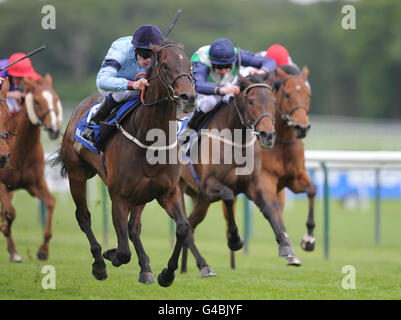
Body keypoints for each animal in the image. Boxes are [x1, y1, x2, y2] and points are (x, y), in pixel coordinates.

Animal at [0, 74, 62, 262]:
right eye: (37, 102)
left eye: (55, 99)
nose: (54, 129)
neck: (21, 149)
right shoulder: (2, 185)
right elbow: (10, 212)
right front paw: (5, 229)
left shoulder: (35, 184)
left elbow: (51, 202)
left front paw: (43, 250)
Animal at [53, 40, 197, 288]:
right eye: (165, 65)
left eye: (189, 64)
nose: (188, 97)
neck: (150, 139)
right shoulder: (119, 197)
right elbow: (122, 251)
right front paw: (109, 255)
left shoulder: (167, 191)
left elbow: (182, 227)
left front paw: (167, 273)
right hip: (76, 174)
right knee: (83, 217)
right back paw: (99, 263)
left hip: (141, 194)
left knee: (134, 228)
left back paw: (146, 269)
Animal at [179, 73, 296, 278]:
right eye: (250, 101)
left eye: (273, 101)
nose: (268, 135)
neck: (236, 143)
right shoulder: (209, 186)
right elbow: (228, 195)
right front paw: (234, 239)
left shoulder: (253, 184)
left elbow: (267, 208)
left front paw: (285, 245)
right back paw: (201, 265)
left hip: (201, 200)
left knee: (190, 226)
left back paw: (198, 265)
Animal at [222, 64, 316, 268]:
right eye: (287, 95)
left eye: (308, 94)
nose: (302, 127)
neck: (281, 143)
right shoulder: (265, 180)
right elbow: (272, 207)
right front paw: (287, 244)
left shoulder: (295, 177)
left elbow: (312, 190)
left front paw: (309, 239)